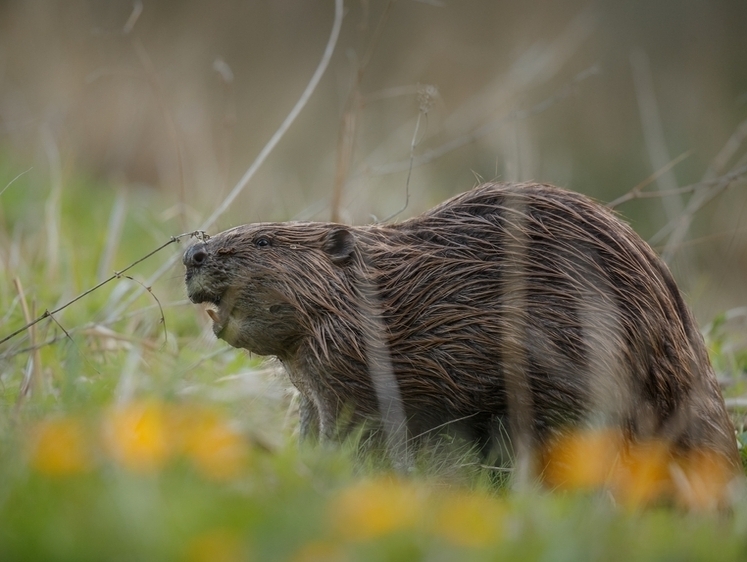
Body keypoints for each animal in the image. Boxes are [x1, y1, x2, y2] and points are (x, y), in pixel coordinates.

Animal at [184, 182, 740, 470]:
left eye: (262, 242)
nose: (193, 254)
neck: (379, 297)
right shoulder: (317, 381)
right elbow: (314, 424)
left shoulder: (364, 370)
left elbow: (366, 430)